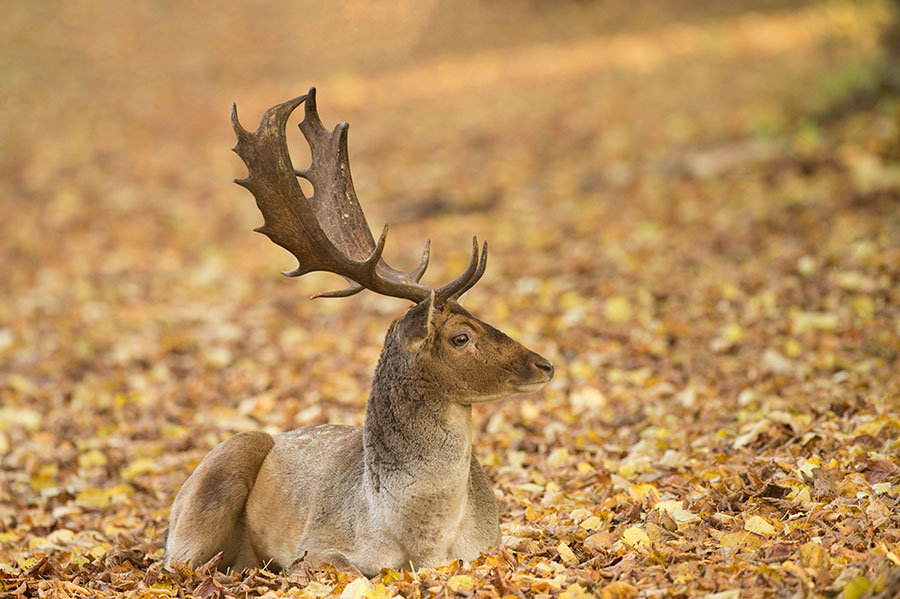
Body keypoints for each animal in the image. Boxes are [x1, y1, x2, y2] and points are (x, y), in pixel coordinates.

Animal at [165, 88, 552, 576]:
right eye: (461, 336)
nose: (545, 364)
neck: (426, 544)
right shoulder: (315, 548)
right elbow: (349, 571)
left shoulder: (492, 544)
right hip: (213, 482)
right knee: (178, 562)